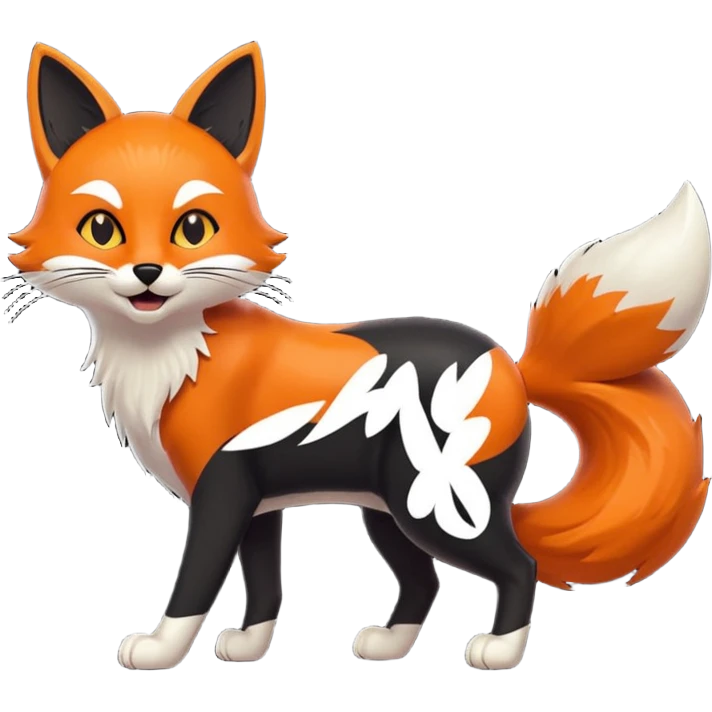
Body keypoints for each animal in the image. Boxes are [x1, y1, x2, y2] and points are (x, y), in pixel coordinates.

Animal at [6, 40, 710, 671]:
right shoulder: (256, 505)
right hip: (392, 512)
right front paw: (249, 648)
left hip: (436, 509)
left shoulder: (221, 494)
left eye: (194, 229)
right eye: (102, 229)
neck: (174, 355)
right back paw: (390, 645)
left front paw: (159, 651)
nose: (148, 273)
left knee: (519, 564)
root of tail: (510, 363)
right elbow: (265, 586)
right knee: (425, 582)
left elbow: (193, 588)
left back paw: (499, 652)